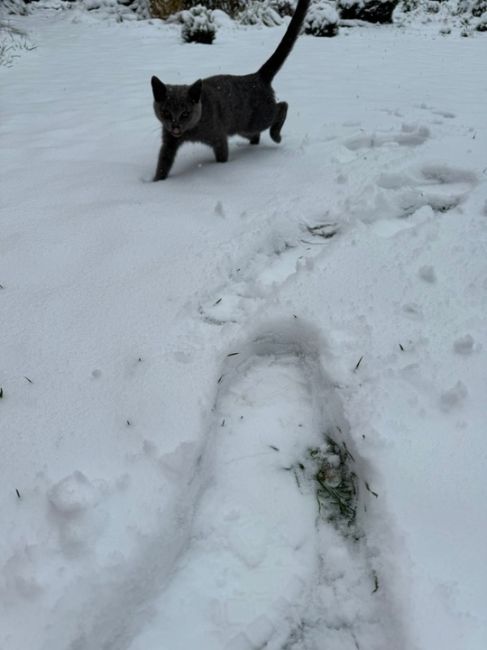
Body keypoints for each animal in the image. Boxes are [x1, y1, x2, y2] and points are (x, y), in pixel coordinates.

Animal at [150, 0, 308, 178]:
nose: (175, 126)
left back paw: (276, 135)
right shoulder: (169, 141)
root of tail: (257, 76)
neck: (190, 132)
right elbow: (163, 163)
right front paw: (157, 181)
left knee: (282, 106)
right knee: (257, 135)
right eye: (165, 113)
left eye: (185, 114)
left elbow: (222, 156)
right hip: (244, 128)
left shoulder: (218, 137)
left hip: (258, 119)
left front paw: (221, 168)